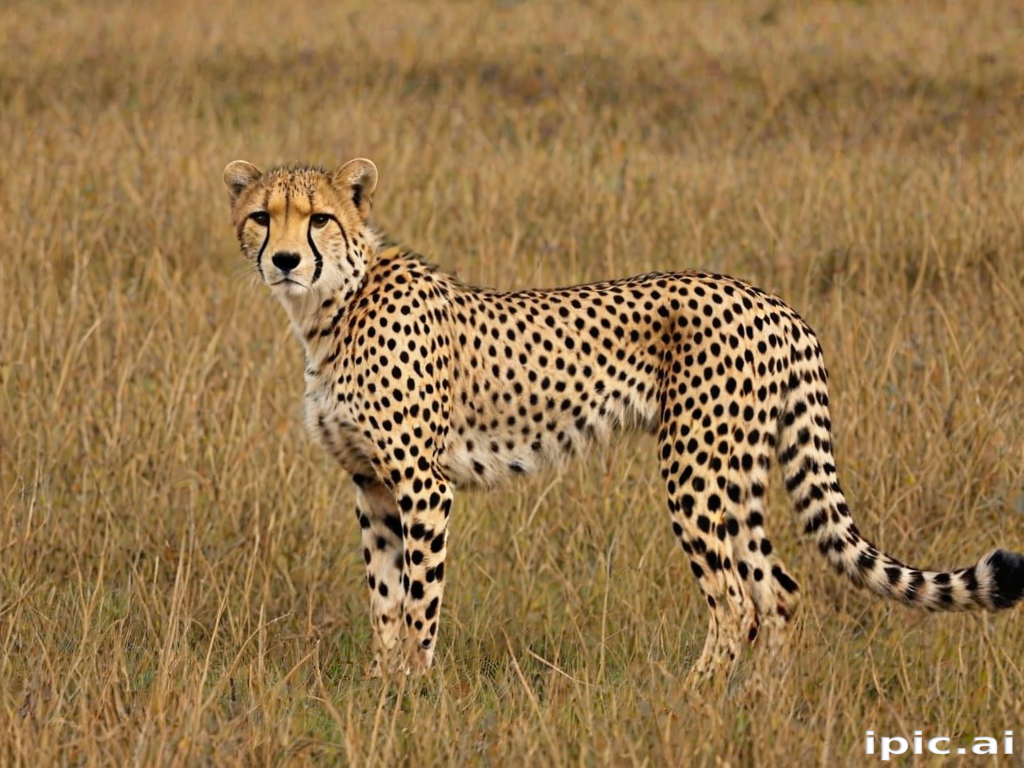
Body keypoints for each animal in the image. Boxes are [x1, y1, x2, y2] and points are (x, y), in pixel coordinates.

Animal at [222, 157, 1024, 681]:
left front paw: (415, 691)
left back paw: (696, 699)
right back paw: (763, 702)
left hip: (695, 468)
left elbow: (420, 600)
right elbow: (384, 601)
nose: (286, 259)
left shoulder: (423, 485)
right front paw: (382, 691)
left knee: (735, 599)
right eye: (262, 216)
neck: (331, 306)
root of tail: (775, 301)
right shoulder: (371, 485)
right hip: (738, 472)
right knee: (778, 589)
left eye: (320, 218)